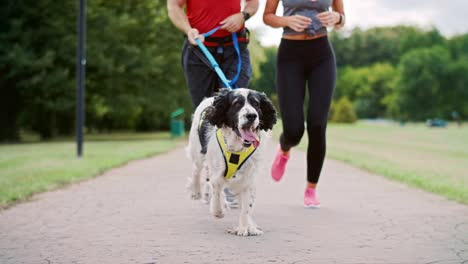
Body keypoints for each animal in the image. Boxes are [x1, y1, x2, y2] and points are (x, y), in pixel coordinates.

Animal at [186, 87, 276, 236]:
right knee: (196, 170)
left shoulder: (248, 176)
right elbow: (216, 191)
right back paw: (196, 192)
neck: (237, 148)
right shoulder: (217, 172)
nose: (251, 115)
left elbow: (246, 205)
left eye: (256, 104)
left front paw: (245, 227)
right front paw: (219, 211)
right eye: (237, 104)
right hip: (197, 150)